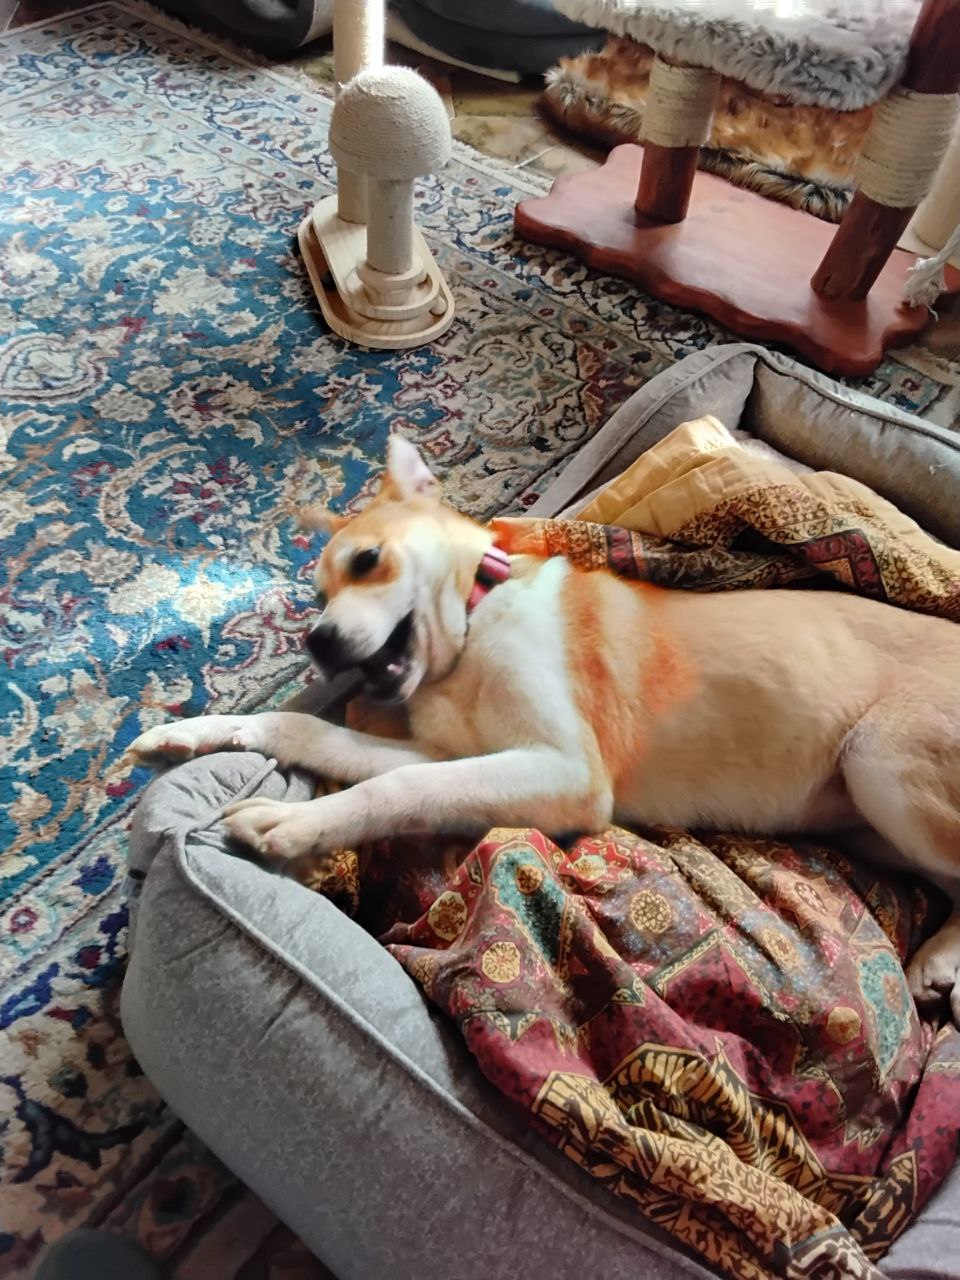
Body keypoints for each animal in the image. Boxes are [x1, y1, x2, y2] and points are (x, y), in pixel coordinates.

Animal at [131, 434, 960, 1020]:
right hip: (866, 822)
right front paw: (199, 734)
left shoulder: (564, 772)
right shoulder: (459, 754)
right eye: (318, 596)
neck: (471, 623)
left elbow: (397, 788)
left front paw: (292, 826)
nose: (320, 644)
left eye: (367, 561)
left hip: (880, 761)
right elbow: (321, 737)